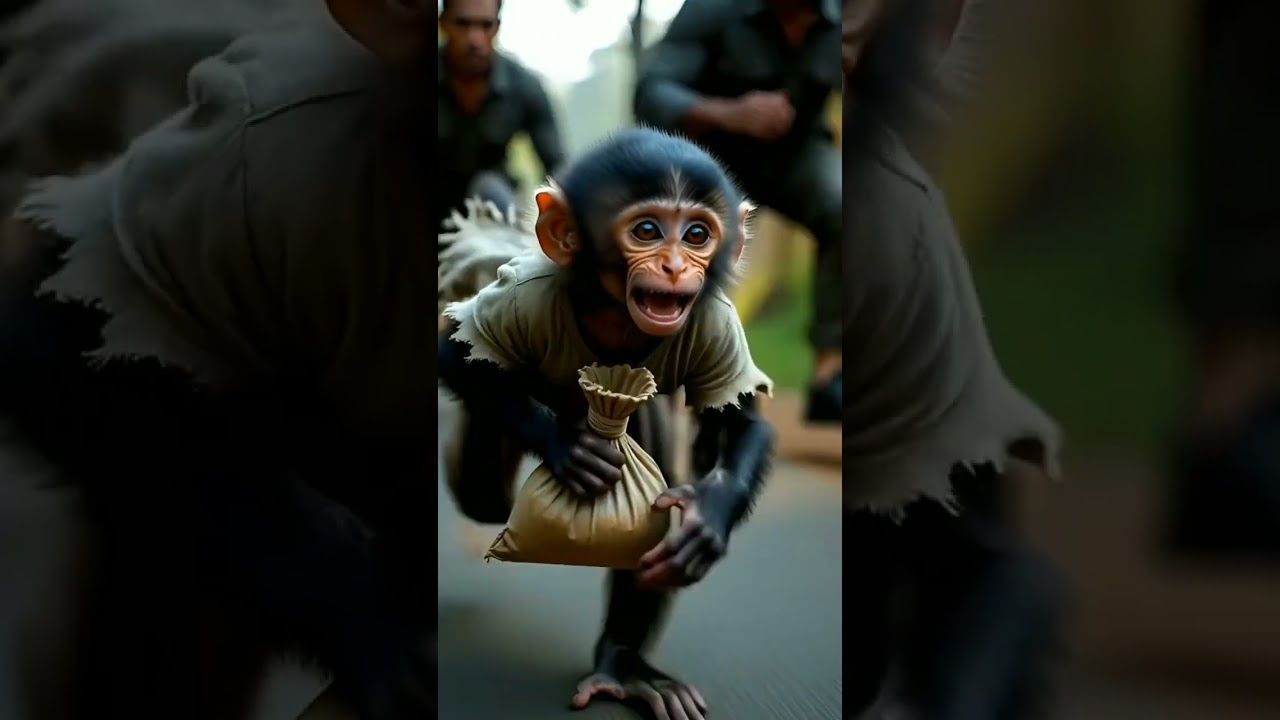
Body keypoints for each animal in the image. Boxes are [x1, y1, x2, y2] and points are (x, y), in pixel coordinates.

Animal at [438, 127, 777, 720]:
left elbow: (740, 424)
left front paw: (707, 519)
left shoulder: (714, 323)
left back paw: (624, 666)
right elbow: (455, 356)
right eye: (647, 231)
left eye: (697, 234)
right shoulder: (524, 296)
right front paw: (567, 447)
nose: (674, 266)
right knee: (481, 488)